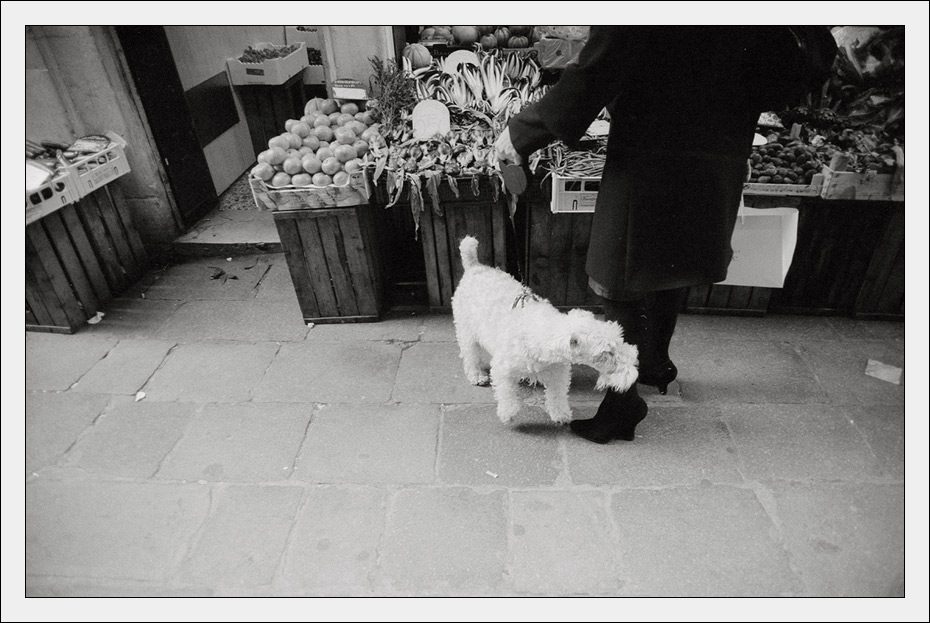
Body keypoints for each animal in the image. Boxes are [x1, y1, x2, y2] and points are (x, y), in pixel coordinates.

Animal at [452, 236, 640, 426]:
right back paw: (477, 375)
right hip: (466, 332)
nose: (634, 367)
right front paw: (507, 413)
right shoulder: (502, 369)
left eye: (620, 339)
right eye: (606, 352)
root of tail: (474, 266)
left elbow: (557, 395)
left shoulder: (558, 373)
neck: (541, 334)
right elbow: (507, 393)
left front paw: (561, 414)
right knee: (470, 356)